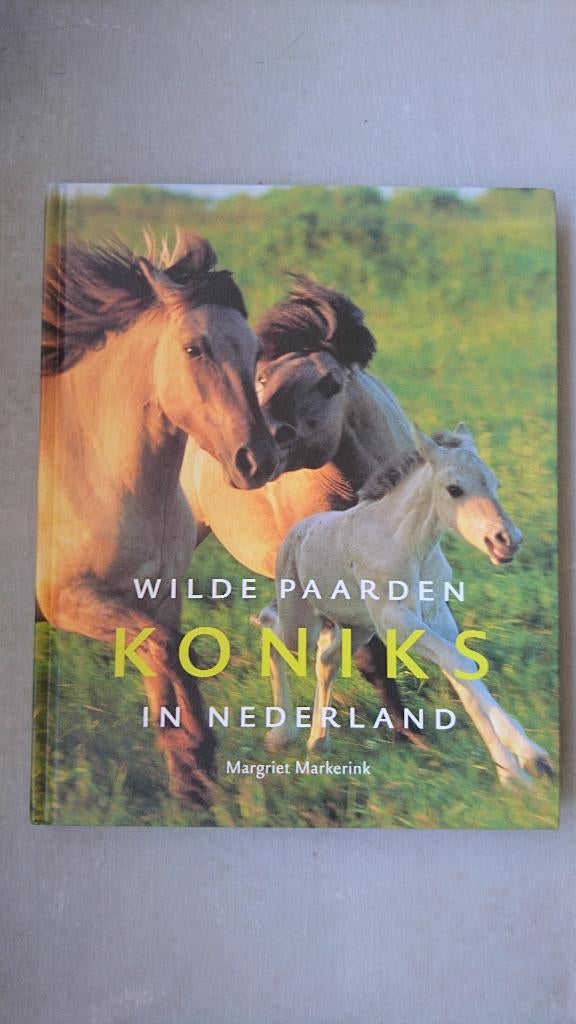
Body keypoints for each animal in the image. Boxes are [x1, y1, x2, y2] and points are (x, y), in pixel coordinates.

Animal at [37, 231, 278, 804]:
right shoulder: (68, 600)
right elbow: (168, 651)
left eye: (257, 352)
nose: (257, 460)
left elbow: (165, 659)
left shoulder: (157, 597)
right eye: (194, 348)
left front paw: (191, 781)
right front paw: (199, 756)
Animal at [180, 277, 442, 743]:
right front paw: (402, 731)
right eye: (262, 378)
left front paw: (408, 731)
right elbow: (366, 656)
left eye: (330, 384)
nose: (253, 456)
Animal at [257, 424, 553, 786]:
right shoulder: (396, 622)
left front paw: (519, 765)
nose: (507, 541)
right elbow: (461, 665)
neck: (409, 545)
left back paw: (318, 741)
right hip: (301, 622)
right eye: (454, 489)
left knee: (326, 661)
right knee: (272, 630)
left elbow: (462, 670)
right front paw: (522, 762)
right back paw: (281, 734)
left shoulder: (437, 616)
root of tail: (294, 532)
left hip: (357, 628)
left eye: (494, 484)